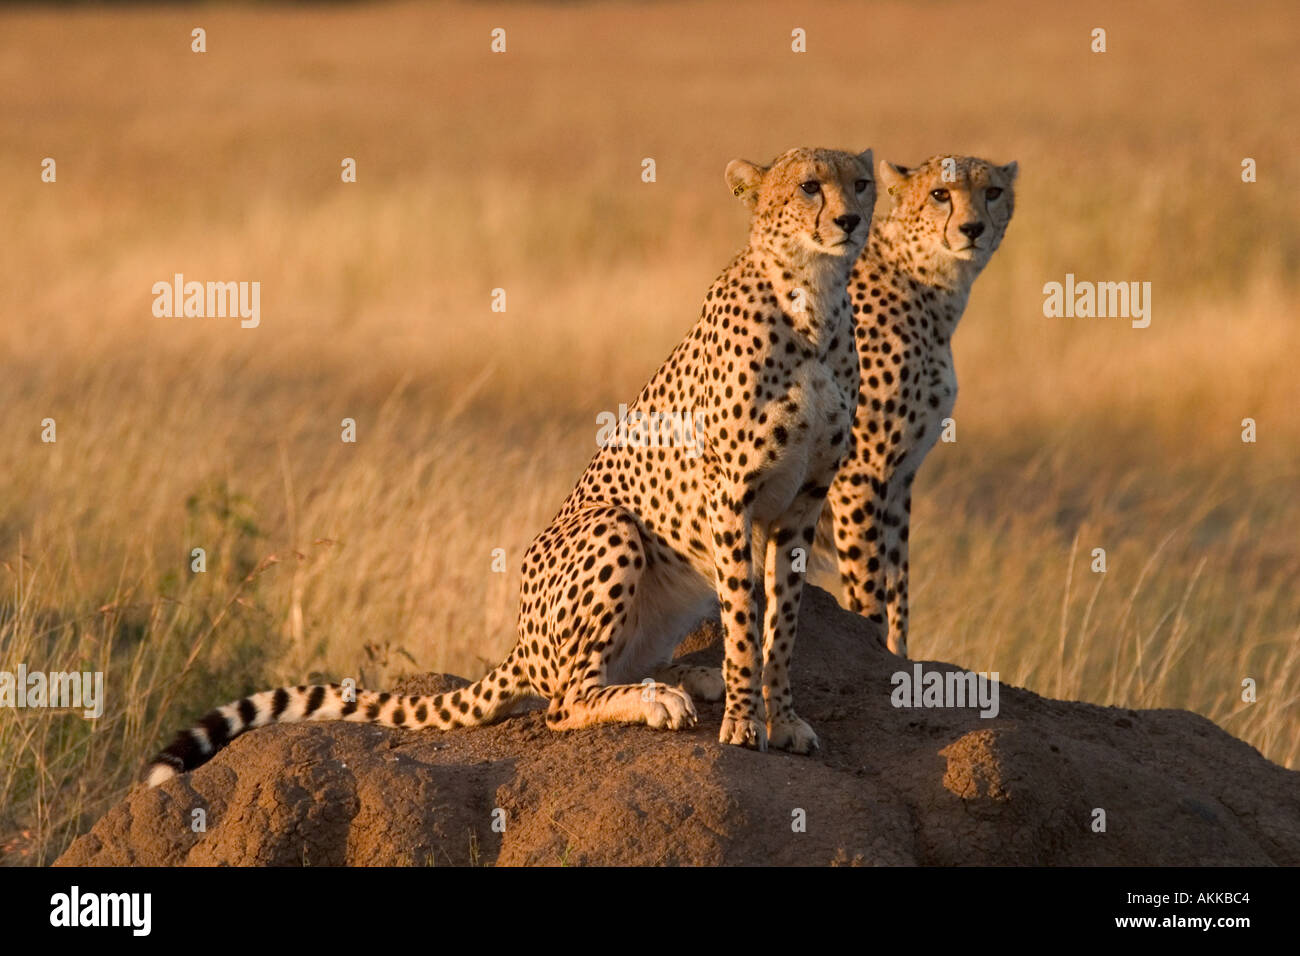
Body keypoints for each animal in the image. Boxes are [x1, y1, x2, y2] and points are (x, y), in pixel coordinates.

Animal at [147, 143, 878, 785]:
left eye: (861, 184)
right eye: (809, 186)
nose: (849, 220)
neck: (812, 301)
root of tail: (522, 641)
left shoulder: (805, 500)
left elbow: (782, 622)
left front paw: (781, 717)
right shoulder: (729, 494)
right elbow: (747, 616)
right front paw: (746, 724)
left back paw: (694, 677)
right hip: (611, 527)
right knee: (564, 699)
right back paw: (660, 698)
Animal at [826, 153, 1019, 658]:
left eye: (992, 192)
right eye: (939, 194)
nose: (972, 228)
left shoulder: (900, 474)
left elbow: (898, 577)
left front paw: (899, 652)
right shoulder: (859, 469)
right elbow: (867, 577)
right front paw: (871, 641)